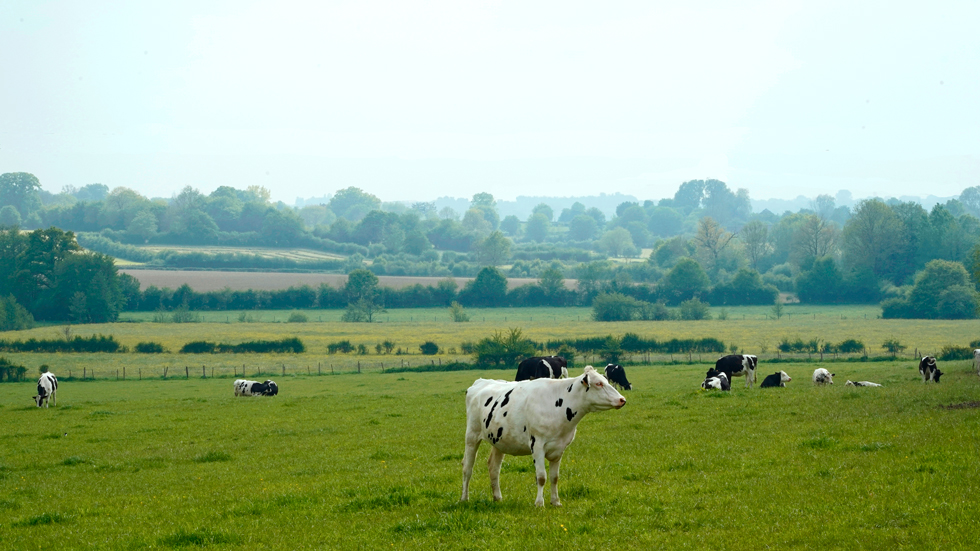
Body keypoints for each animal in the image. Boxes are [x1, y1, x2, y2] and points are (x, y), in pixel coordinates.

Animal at [462, 364, 628, 506]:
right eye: (599, 384)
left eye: (606, 381)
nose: (622, 399)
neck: (559, 403)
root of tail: (481, 381)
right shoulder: (537, 445)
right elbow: (541, 477)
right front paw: (539, 503)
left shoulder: (559, 448)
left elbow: (554, 477)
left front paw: (555, 501)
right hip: (471, 435)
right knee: (467, 467)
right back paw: (464, 498)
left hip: (499, 440)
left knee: (494, 467)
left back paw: (497, 498)